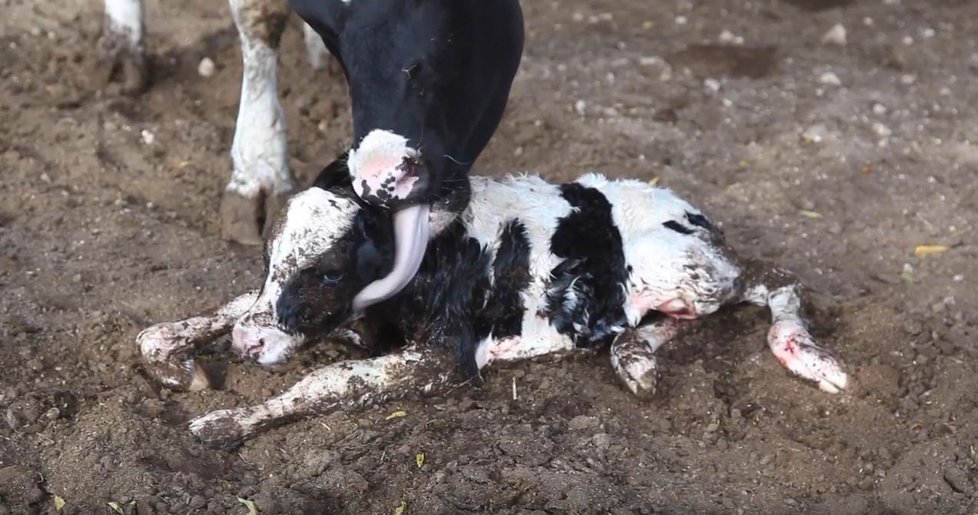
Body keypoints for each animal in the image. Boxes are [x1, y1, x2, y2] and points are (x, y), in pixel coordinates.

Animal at [135, 159, 848, 450]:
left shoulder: (443, 357)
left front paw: (223, 424)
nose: (247, 348)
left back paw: (807, 355)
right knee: (654, 322)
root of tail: (697, 213)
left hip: (678, 264)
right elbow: (229, 305)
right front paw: (169, 354)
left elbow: (327, 382)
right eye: (268, 258)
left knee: (773, 278)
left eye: (331, 270)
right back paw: (634, 358)